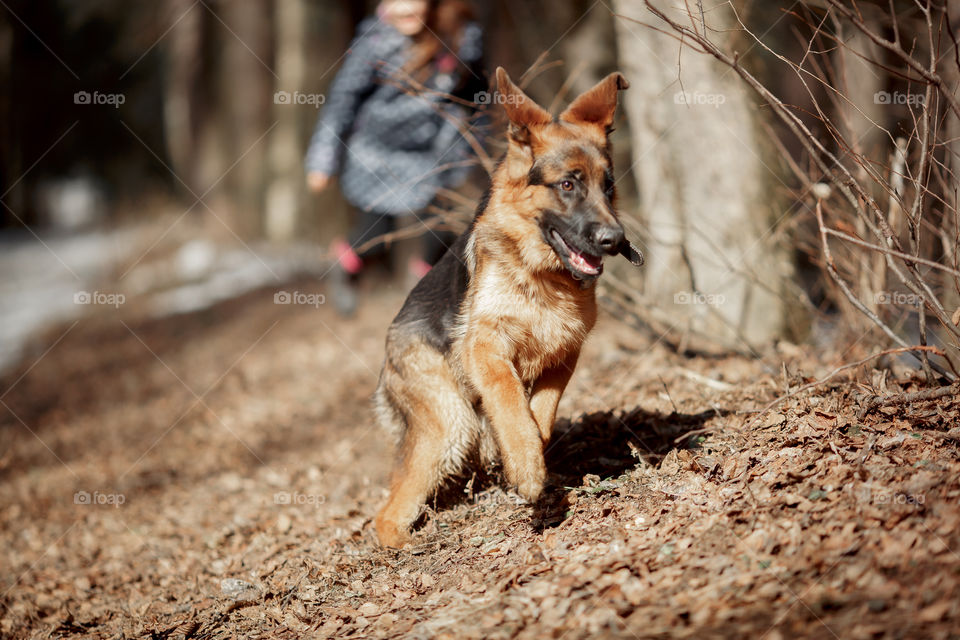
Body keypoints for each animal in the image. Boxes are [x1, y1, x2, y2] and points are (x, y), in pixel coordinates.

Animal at [374, 65, 636, 548]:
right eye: (567, 184)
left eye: (608, 187)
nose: (614, 241)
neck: (542, 275)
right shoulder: (486, 348)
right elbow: (510, 399)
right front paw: (528, 469)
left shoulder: (564, 354)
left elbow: (541, 412)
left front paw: (522, 455)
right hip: (450, 424)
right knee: (388, 508)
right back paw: (403, 545)